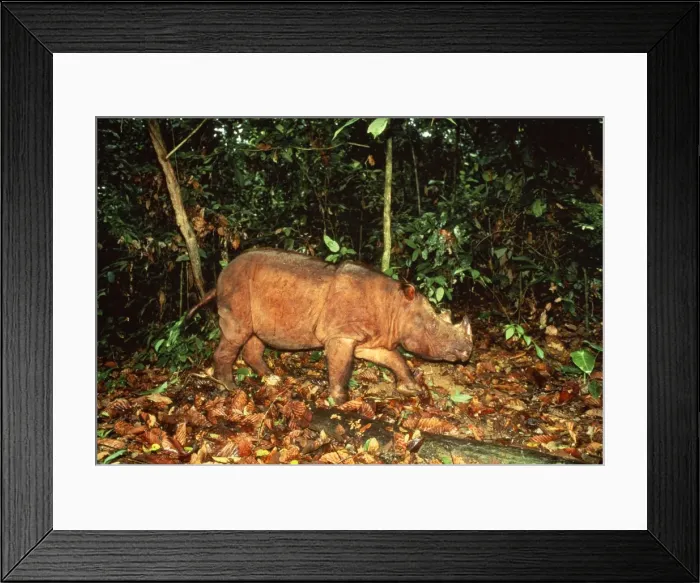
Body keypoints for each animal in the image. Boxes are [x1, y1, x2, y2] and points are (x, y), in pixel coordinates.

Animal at [188, 248, 473, 405]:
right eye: (433, 327)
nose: (468, 352)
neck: (395, 306)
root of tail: (220, 275)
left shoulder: (369, 339)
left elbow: (394, 358)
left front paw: (411, 389)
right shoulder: (341, 334)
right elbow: (342, 366)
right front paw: (341, 400)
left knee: (255, 336)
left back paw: (271, 378)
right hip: (237, 287)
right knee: (237, 334)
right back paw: (229, 387)